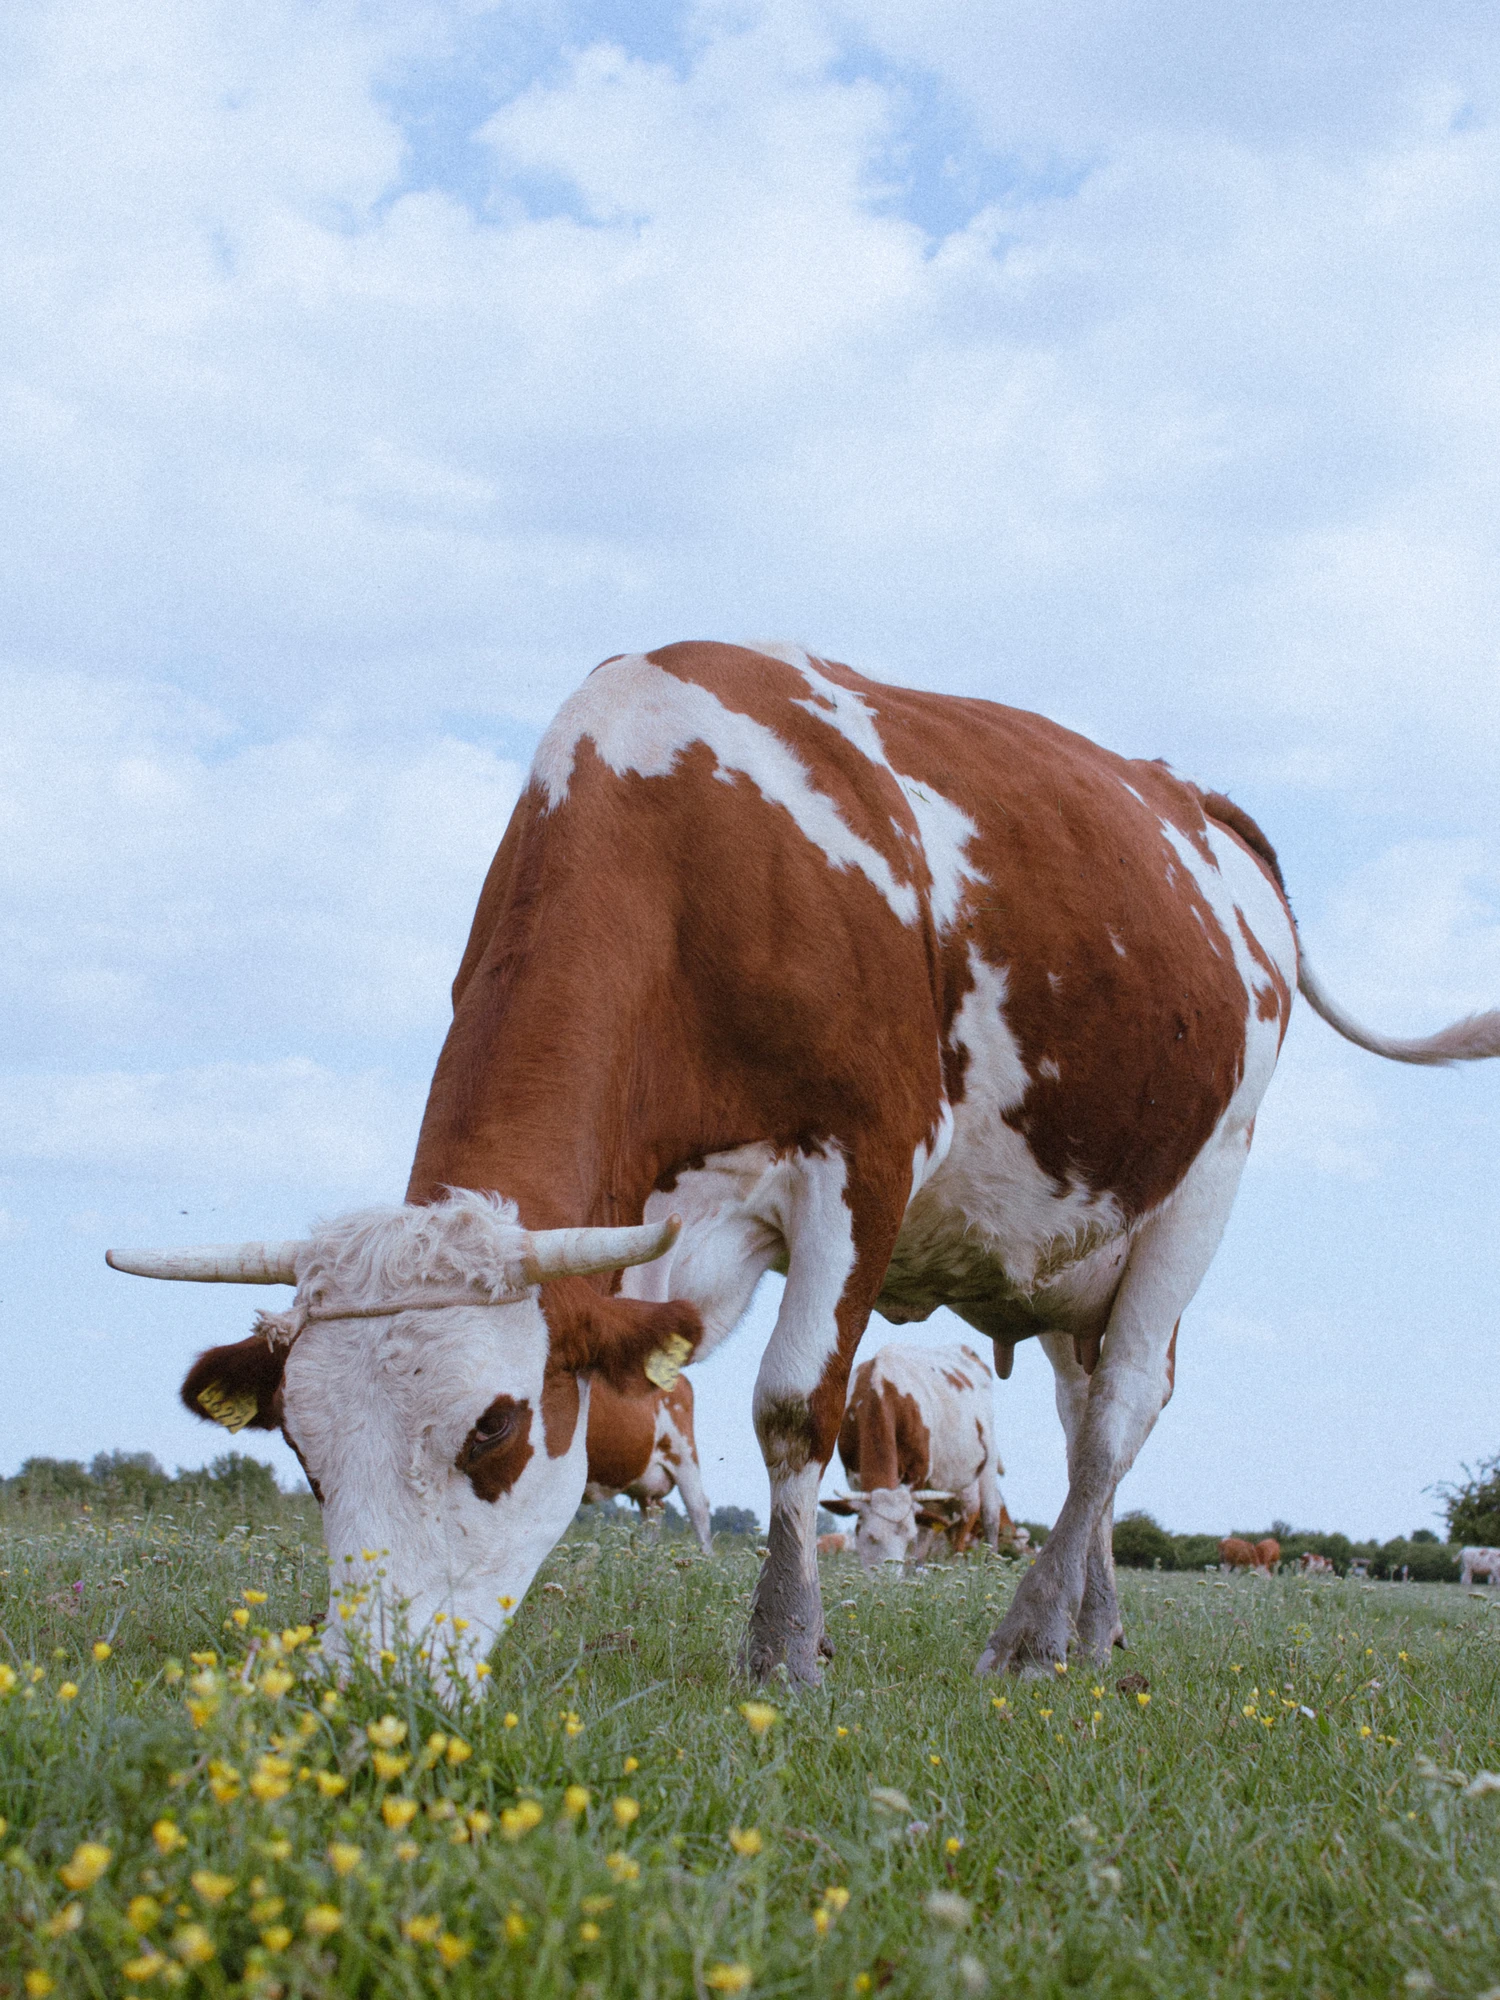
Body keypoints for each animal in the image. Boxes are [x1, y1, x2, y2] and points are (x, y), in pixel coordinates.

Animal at [822, 1343, 1004, 1570]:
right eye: (871, 1537)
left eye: (907, 1538)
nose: (888, 1577)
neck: (880, 1389)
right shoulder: (854, 1475)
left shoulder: (917, 1474)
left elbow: (920, 1528)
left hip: (987, 1462)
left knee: (987, 1515)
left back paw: (987, 1565)